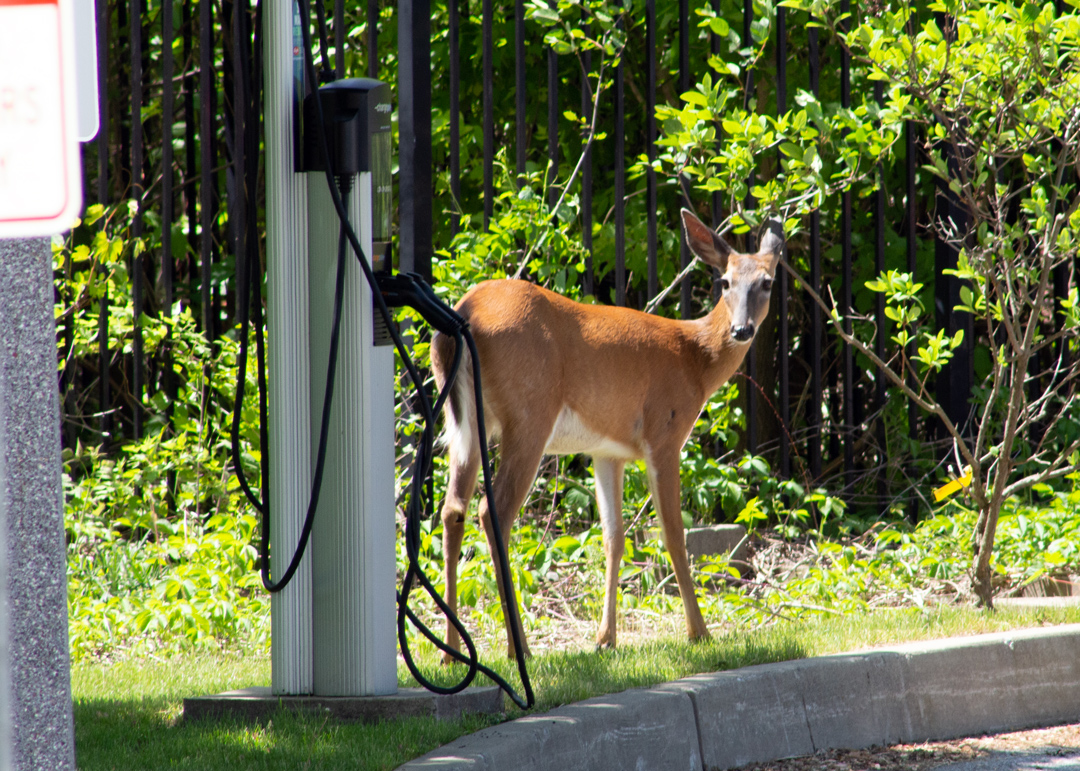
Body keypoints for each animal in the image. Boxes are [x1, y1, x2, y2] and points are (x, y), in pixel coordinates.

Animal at [432, 208, 786, 656]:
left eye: (767, 282)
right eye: (725, 282)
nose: (742, 330)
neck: (694, 358)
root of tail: (464, 315)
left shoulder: (608, 451)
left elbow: (613, 537)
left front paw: (606, 639)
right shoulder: (664, 433)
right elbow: (674, 533)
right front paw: (699, 632)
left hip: (464, 422)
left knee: (452, 510)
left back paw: (451, 651)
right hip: (529, 415)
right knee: (493, 512)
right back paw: (519, 648)